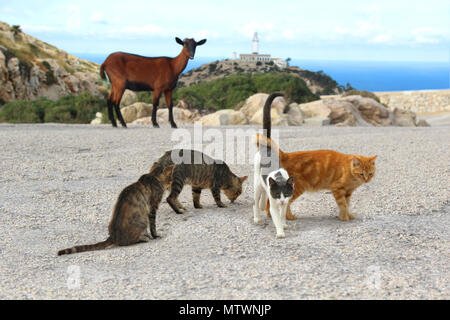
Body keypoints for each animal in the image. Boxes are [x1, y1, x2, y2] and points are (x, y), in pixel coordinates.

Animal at [256, 92, 376, 222]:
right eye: (361, 174)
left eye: (370, 174)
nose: (366, 180)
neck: (350, 173)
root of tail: (286, 155)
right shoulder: (338, 189)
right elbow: (343, 204)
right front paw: (344, 217)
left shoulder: (348, 192)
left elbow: (347, 204)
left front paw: (348, 215)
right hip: (295, 188)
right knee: (283, 203)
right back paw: (288, 217)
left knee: (270, 201)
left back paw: (271, 215)